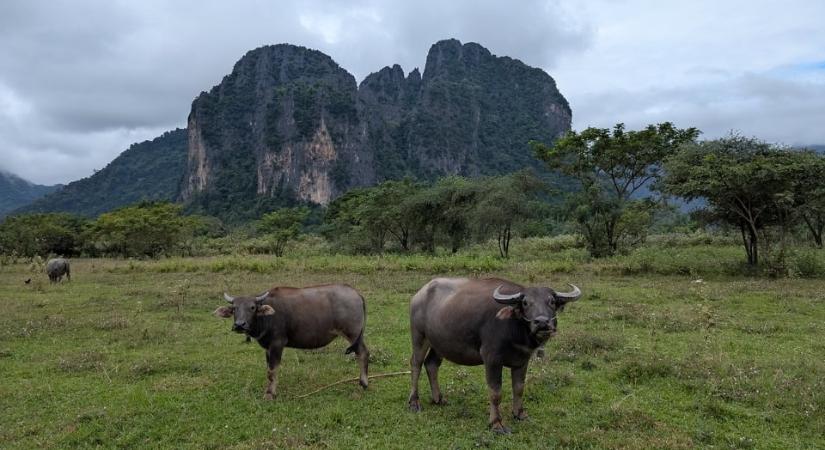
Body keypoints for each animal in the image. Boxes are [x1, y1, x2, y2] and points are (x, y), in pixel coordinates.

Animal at [214, 284, 368, 400]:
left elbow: (272, 370)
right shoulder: (268, 348)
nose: (240, 325)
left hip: (353, 334)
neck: (267, 318)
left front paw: (270, 394)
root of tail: (356, 294)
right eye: (234, 308)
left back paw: (364, 383)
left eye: (252, 307)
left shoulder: (277, 344)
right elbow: (269, 370)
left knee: (363, 353)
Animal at [408, 278, 580, 432]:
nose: (542, 322)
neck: (515, 330)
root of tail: (419, 294)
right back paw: (414, 402)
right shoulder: (492, 359)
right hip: (419, 336)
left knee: (431, 364)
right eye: (525, 303)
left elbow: (519, 388)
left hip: (439, 343)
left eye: (552, 301)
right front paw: (496, 423)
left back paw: (439, 399)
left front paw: (520, 414)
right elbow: (496, 393)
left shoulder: (522, 361)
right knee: (416, 364)